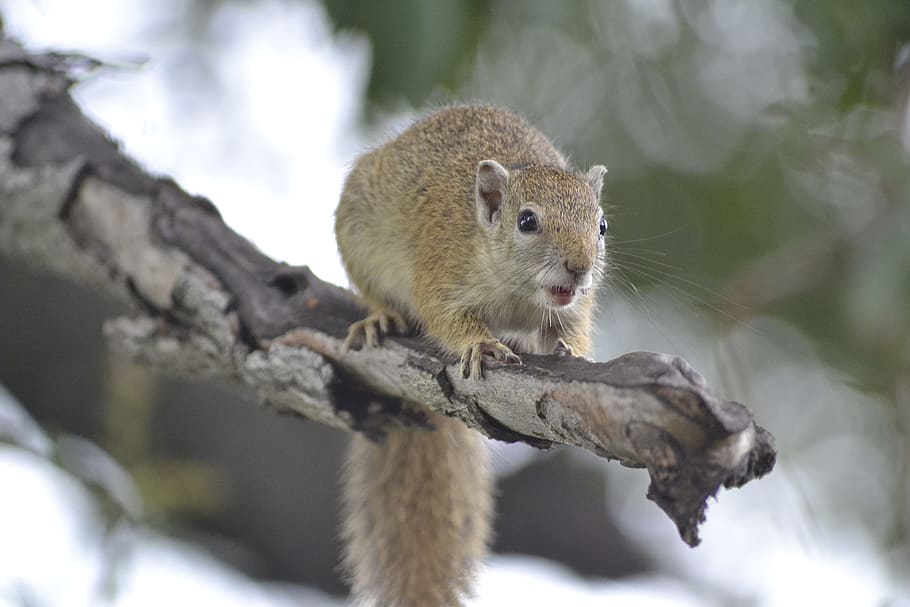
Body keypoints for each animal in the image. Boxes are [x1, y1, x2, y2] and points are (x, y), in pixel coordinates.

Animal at [334, 104, 607, 607]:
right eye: (527, 221)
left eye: (601, 226)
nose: (579, 268)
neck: (518, 293)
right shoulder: (441, 273)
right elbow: (444, 318)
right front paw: (480, 344)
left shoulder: (574, 307)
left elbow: (572, 330)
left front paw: (572, 352)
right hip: (358, 235)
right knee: (373, 294)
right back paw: (380, 318)